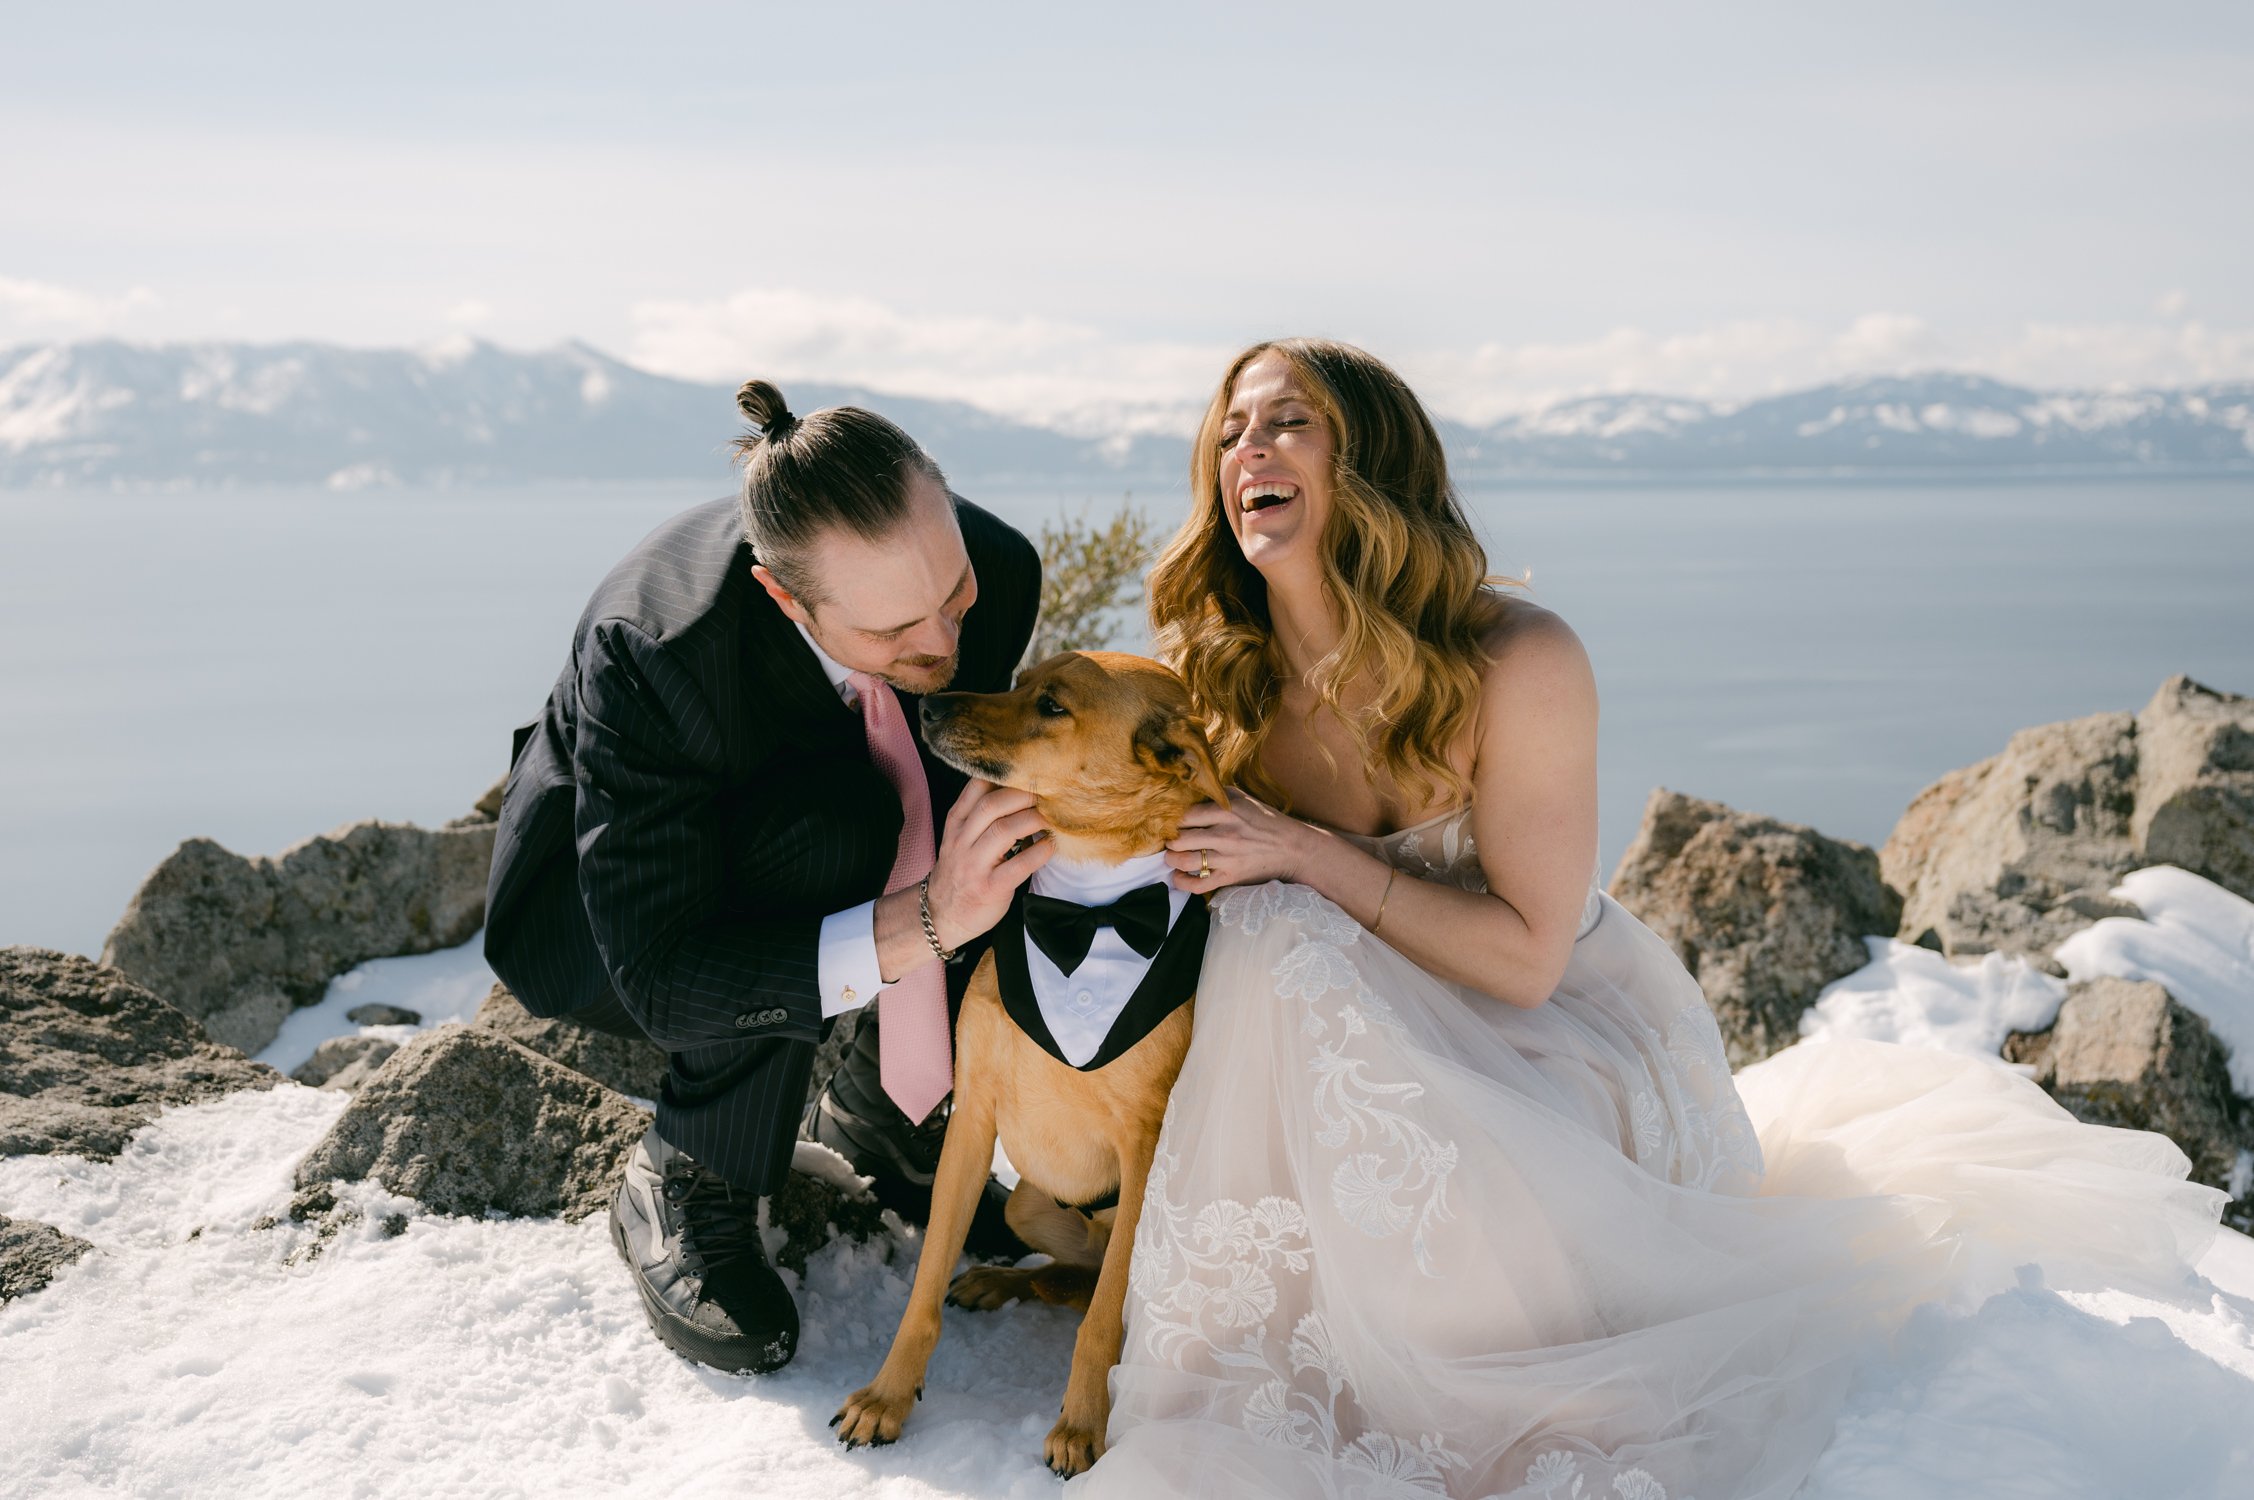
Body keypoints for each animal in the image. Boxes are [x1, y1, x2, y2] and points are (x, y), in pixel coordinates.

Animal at [829, 654, 1226, 1470]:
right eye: (1019, 679)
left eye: (1051, 706)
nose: (930, 709)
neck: (1088, 911)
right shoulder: (973, 1118)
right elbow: (923, 1288)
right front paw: (887, 1397)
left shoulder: (1146, 1151)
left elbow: (1104, 1320)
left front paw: (1081, 1425)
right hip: (1027, 1204)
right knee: (1068, 1273)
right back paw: (992, 1280)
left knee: (1098, 1291)